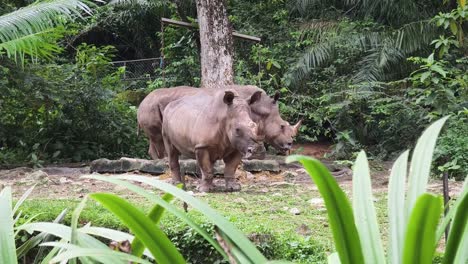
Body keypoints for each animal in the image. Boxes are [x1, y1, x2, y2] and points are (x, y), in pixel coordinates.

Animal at [137, 85, 302, 159]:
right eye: (282, 126)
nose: (290, 144)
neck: (261, 108)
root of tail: (141, 102)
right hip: (150, 108)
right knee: (158, 138)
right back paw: (163, 162)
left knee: (154, 139)